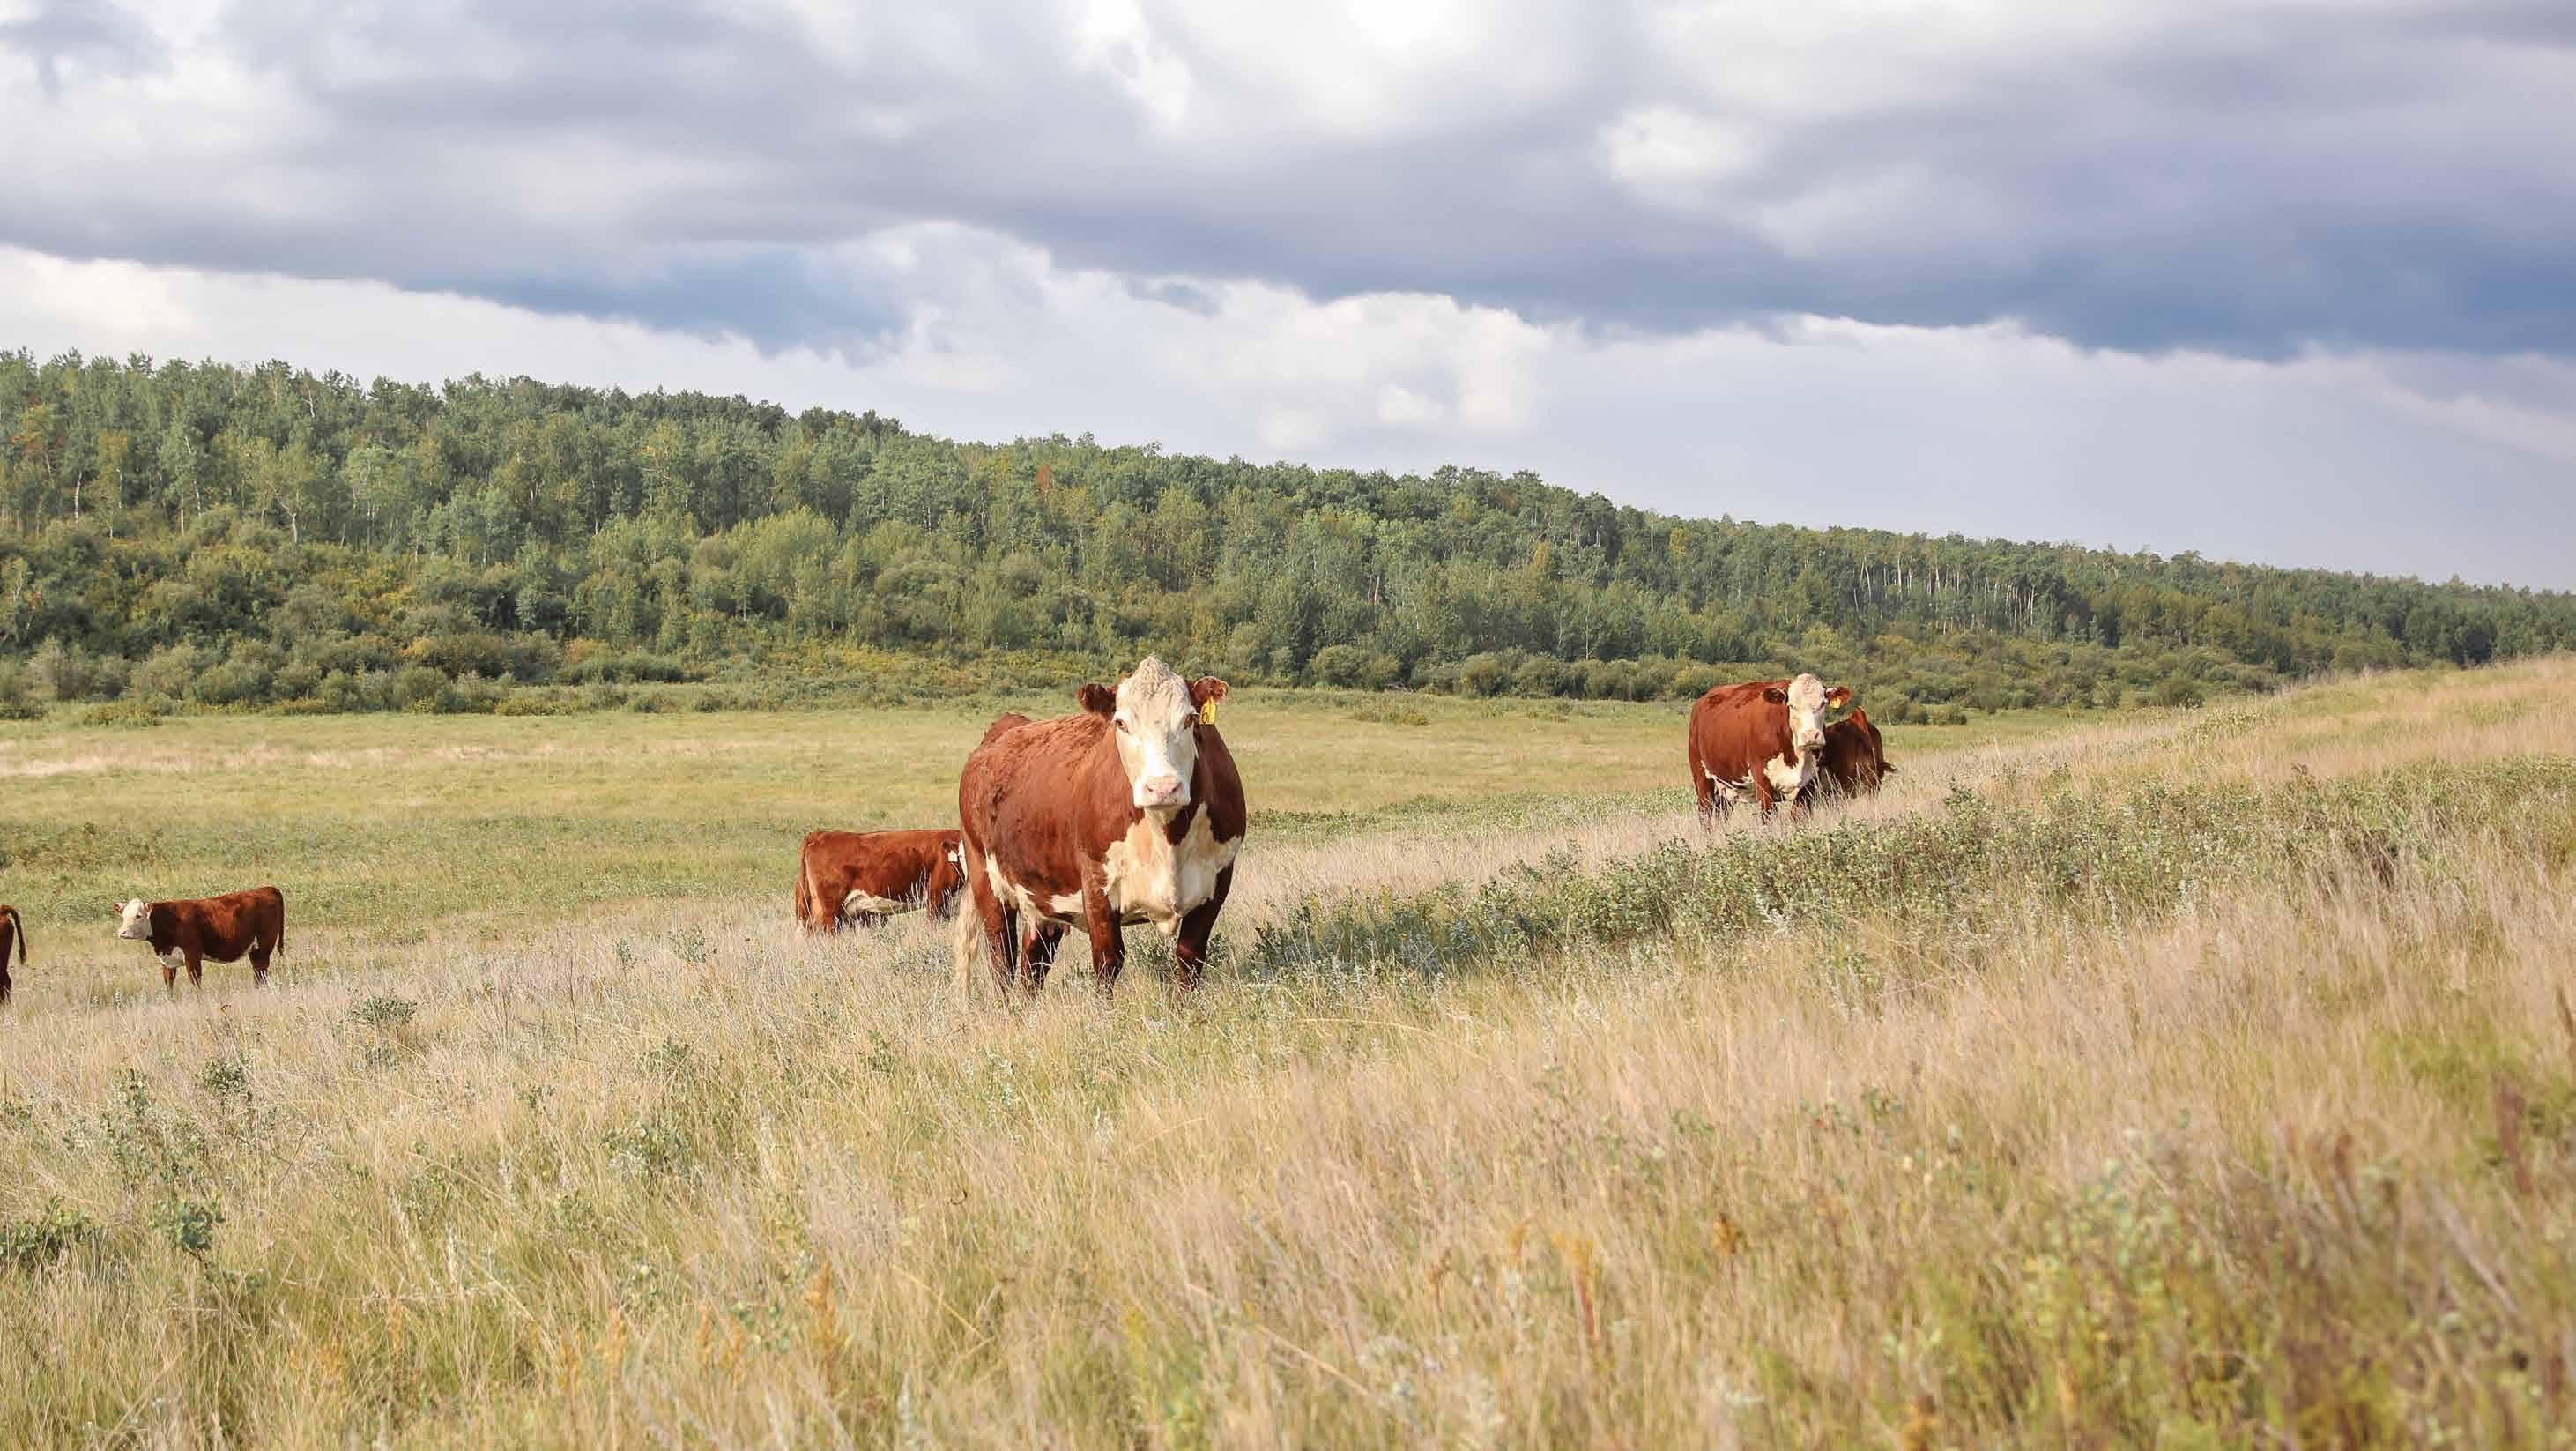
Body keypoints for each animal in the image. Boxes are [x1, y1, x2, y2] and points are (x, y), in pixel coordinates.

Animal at [112, 887, 286, 993]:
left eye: (138, 915)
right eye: (123, 916)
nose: (122, 932)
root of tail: (267, 888)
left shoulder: (192, 955)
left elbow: (196, 983)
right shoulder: (167, 962)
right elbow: (169, 986)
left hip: (263, 948)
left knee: (260, 973)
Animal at [955, 657, 1244, 996]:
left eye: (1190, 719)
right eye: (1121, 723)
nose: (1162, 788)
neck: (1168, 838)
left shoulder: (1217, 881)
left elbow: (1190, 957)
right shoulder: (1096, 882)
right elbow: (1108, 960)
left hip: (1044, 897)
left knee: (1033, 964)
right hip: (985, 878)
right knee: (1002, 956)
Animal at [1687, 673, 1852, 821]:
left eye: (1823, 703)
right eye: (1792, 706)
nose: (1811, 736)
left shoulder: (1809, 783)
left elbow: (1799, 817)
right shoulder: (1762, 779)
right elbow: (1768, 815)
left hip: (1727, 787)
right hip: (1702, 777)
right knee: (1705, 814)